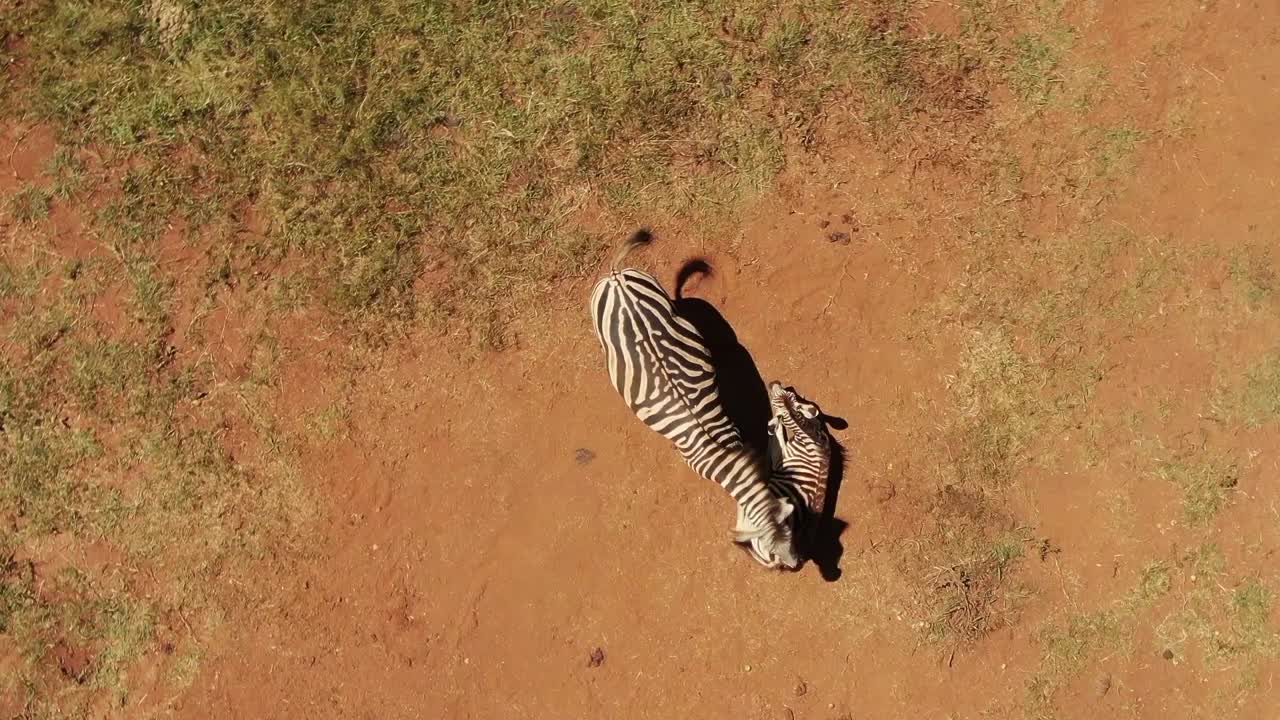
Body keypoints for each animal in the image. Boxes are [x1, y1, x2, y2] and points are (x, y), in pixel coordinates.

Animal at [742, 382, 835, 568]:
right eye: (789, 393)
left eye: (775, 400)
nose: (773, 382)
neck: (809, 435)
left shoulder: (781, 457)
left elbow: (775, 436)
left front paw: (773, 425)